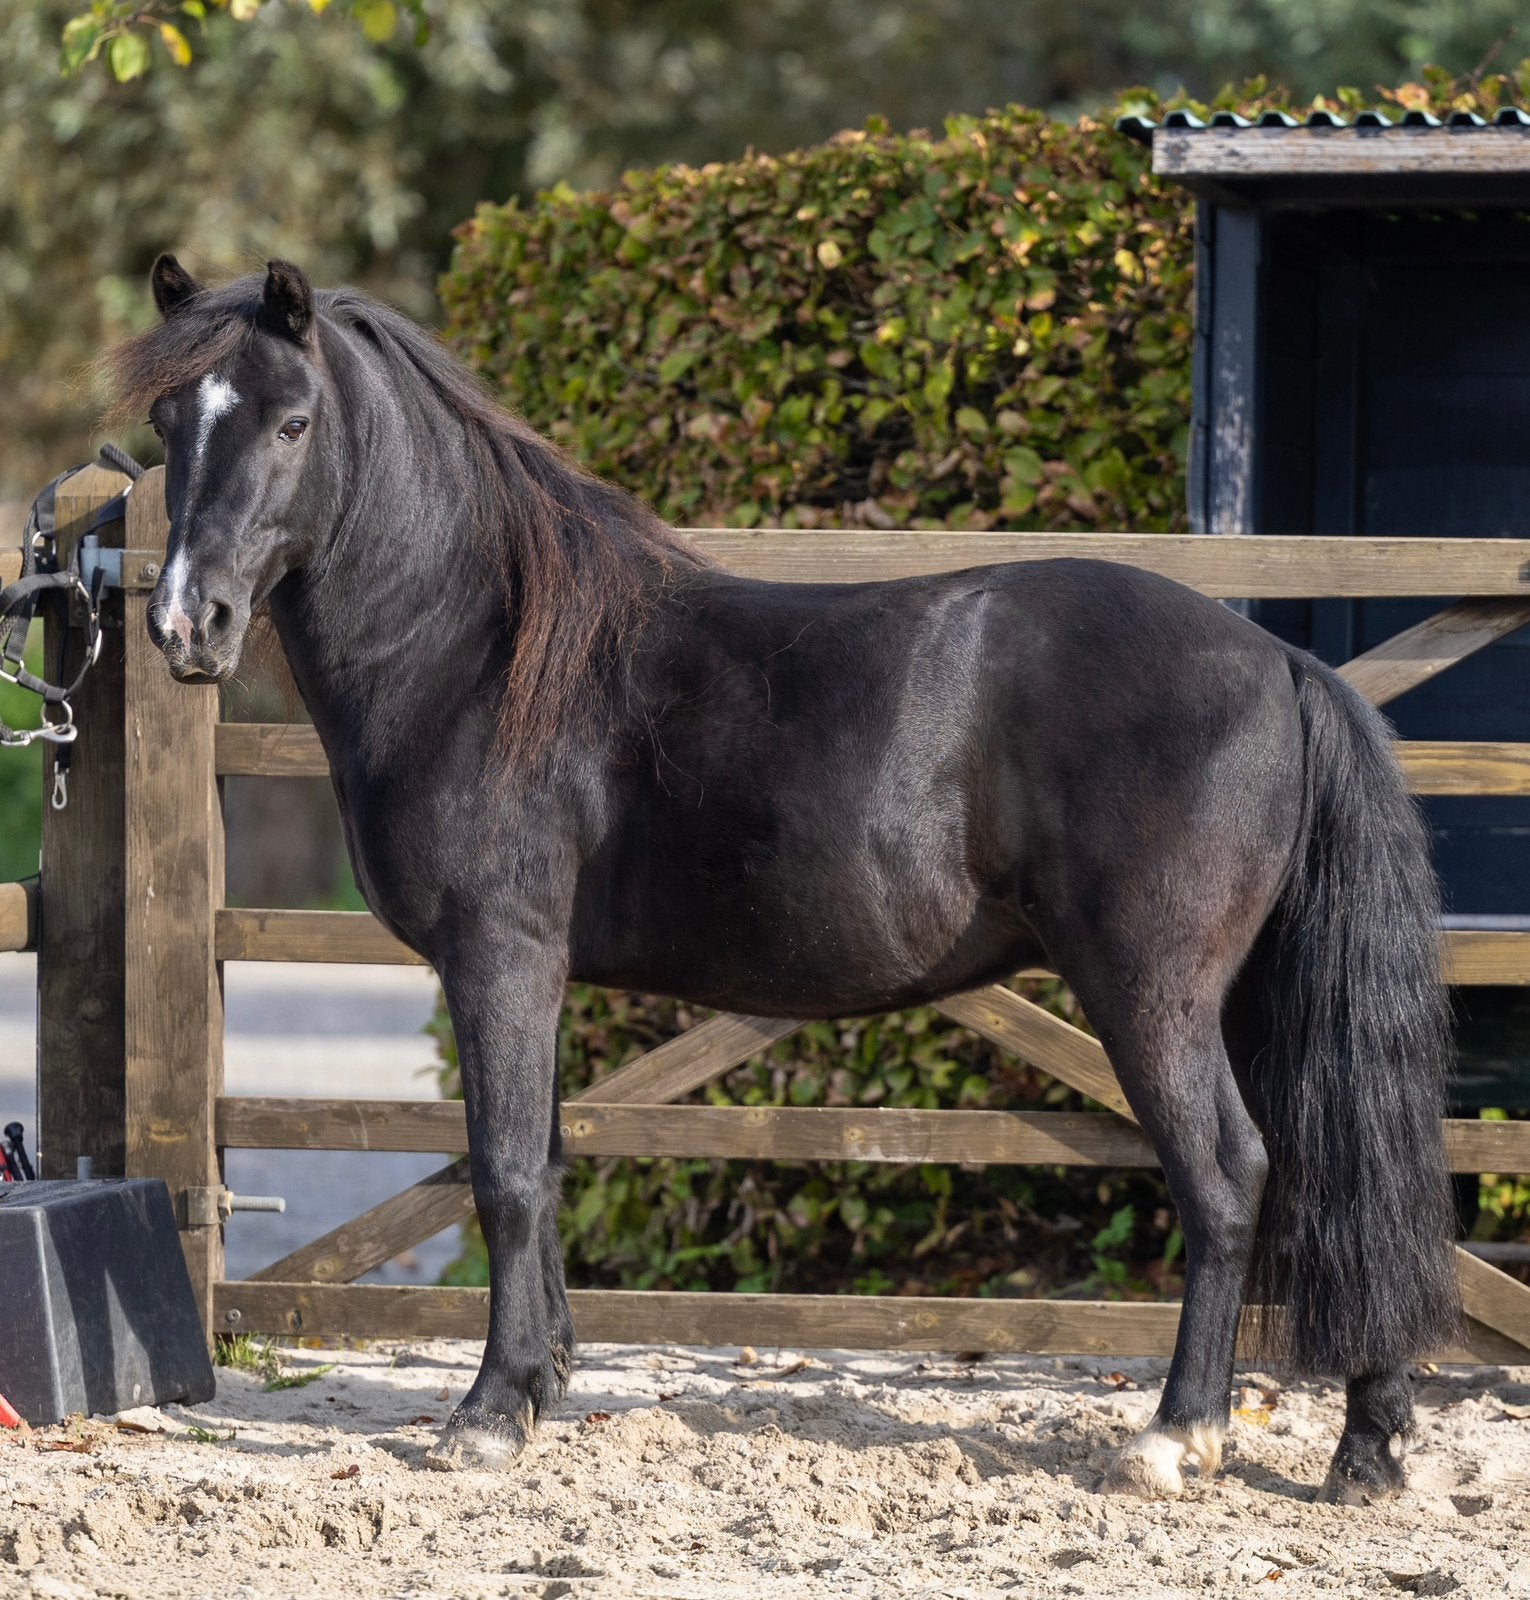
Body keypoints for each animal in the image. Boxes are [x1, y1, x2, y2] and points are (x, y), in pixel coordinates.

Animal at [115, 254, 1461, 1501]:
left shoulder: (499, 956)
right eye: (170, 425)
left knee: (1229, 1177)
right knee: (1343, 1178)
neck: (481, 650)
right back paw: (1370, 1444)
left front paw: (491, 1414)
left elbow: (502, 1174)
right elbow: (544, 1163)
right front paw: (545, 1381)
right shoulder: (532, 973)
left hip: (1154, 994)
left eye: (293, 422)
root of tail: (1279, 662)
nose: (187, 624)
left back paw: (1177, 1438)